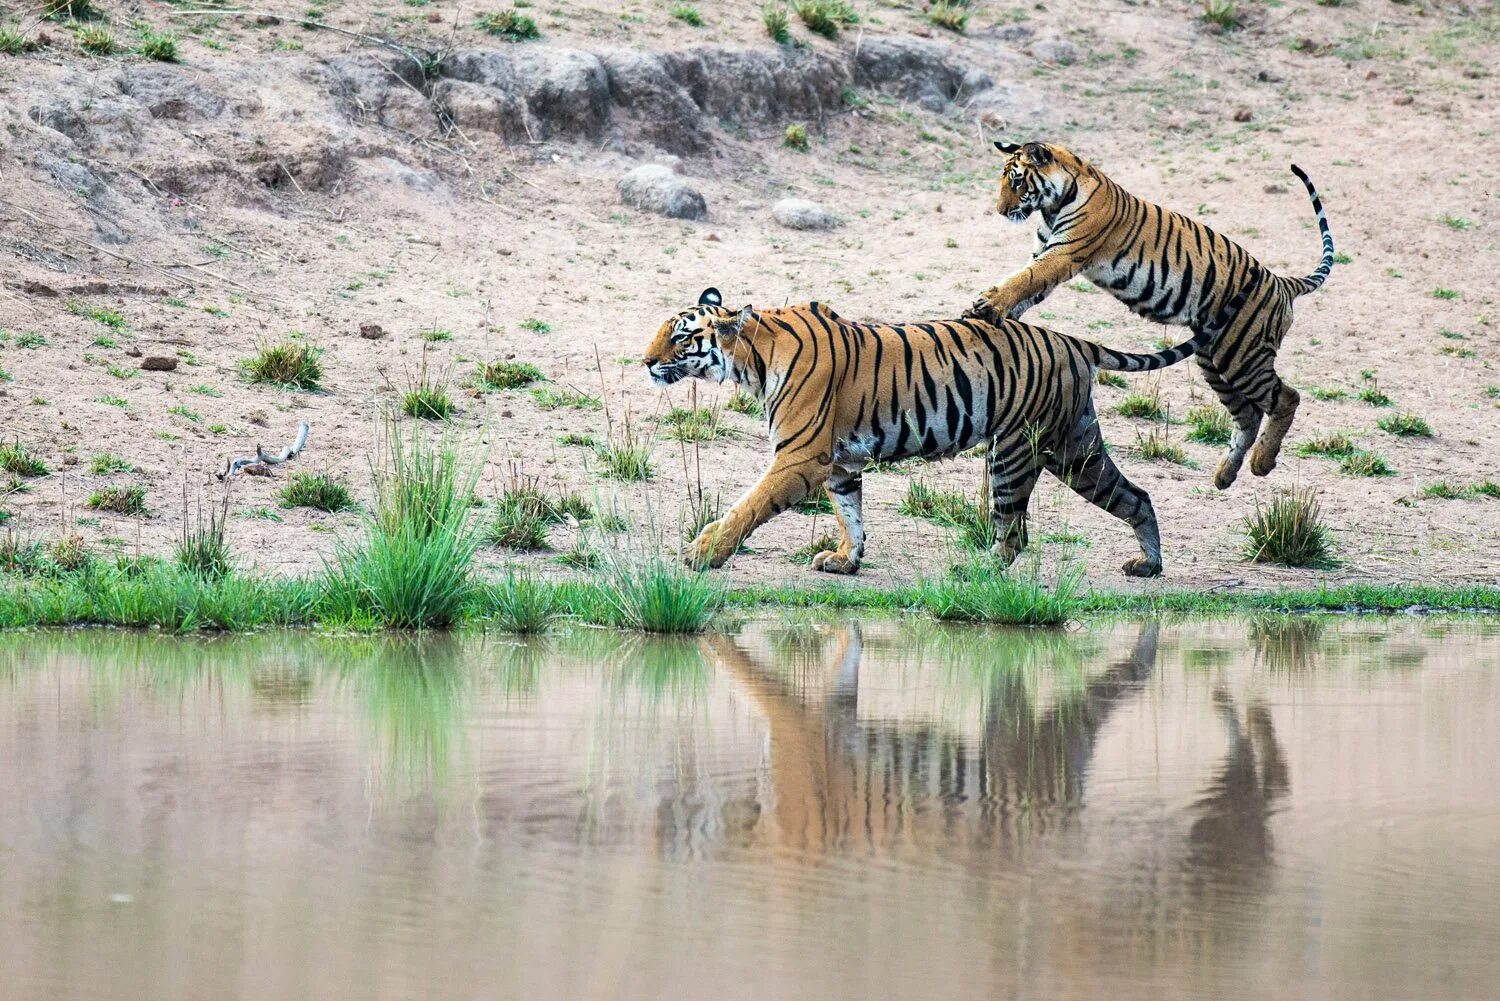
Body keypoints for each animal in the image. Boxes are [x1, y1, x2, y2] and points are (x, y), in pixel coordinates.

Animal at [645, 285, 1242, 576]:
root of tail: (1074, 340)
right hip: (1075, 449)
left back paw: (975, 571)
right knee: (1137, 495)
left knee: (1014, 530)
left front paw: (702, 554)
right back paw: (1149, 565)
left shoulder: (801, 458)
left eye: (681, 337)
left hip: (1016, 452)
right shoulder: (839, 462)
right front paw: (845, 561)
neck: (753, 358)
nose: (645, 361)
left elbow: (746, 507)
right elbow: (851, 514)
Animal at [960, 141, 1338, 492]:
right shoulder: (1044, 252)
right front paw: (989, 312)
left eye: (1017, 180)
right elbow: (1023, 286)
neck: (1053, 205)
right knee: (1249, 413)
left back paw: (1261, 462)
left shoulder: (1063, 254)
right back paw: (1224, 475)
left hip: (1243, 356)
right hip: (1215, 359)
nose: (1001, 211)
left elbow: (1023, 280)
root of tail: (1282, 282)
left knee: (1286, 398)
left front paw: (987, 304)